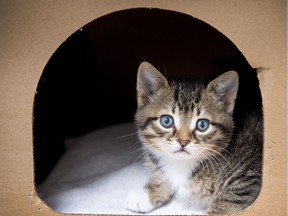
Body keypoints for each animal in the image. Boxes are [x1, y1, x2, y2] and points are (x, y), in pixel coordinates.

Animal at [126, 61, 264, 215]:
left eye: (202, 125)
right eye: (166, 121)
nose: (183, 141)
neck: (182, 163)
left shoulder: (250, 173)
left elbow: (232, 197)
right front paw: (149, 192)